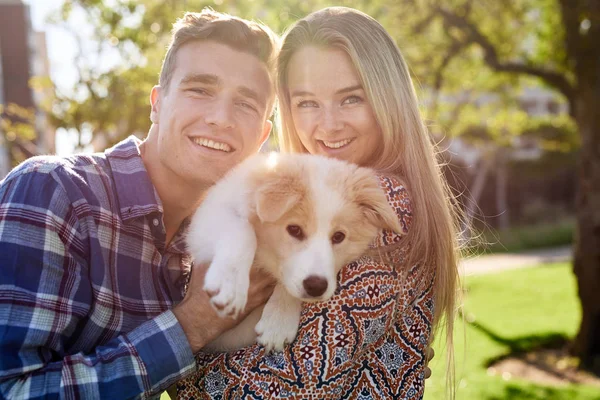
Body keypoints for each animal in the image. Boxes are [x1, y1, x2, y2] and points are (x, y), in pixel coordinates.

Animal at [189, 153, 404, 354]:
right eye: (294, 230)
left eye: (339, 236)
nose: (316, 287)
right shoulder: (204, 221)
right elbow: (242, 230)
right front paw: (230, 284)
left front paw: (279, 321)